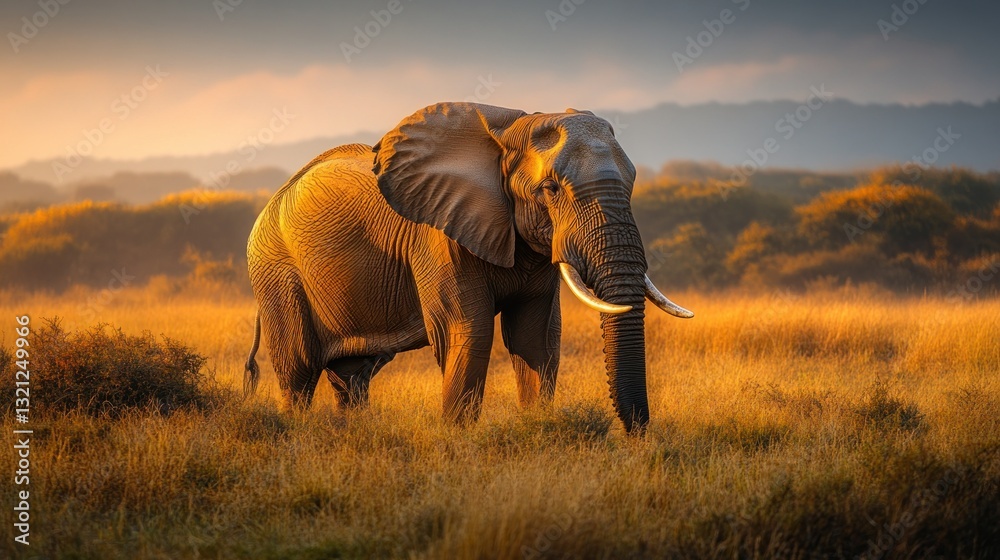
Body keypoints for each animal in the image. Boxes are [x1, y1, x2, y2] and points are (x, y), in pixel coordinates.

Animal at [243, 102, 692, 434]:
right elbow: (467, 331)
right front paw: (458, 438)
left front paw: (537, 426)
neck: (513, 129)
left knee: (352, 376)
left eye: (633, 183)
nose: (638, 435)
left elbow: (536, 338)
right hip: (276, 272)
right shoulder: (438, 235)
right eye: (550, 189)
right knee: (298, 370)